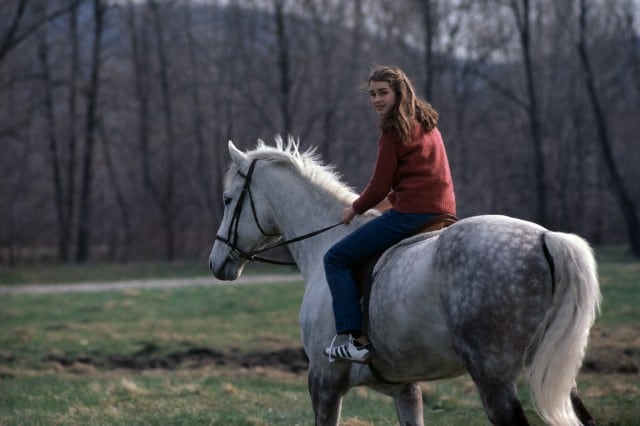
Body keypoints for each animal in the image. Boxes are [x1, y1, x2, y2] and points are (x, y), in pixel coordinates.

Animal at [209, 137, 600, 426]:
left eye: (228, 200)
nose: (216, 262)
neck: (324, 243)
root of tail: (545, 238)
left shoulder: (323, 381)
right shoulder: (404, 389)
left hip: (493, 375)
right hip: (554, 372)